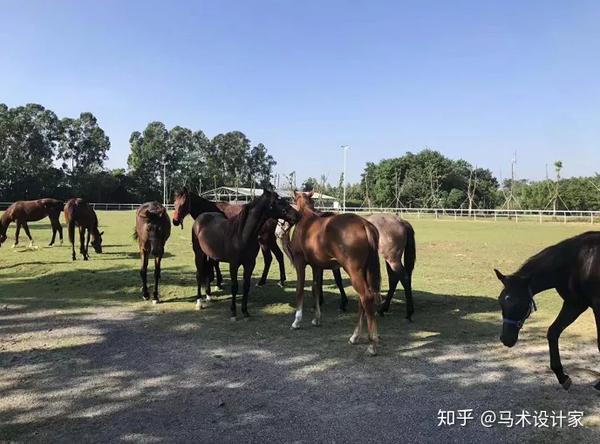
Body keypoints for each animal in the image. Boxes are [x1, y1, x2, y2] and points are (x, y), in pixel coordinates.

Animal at [192, 189, 300, 320]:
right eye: (279, 202)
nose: (297, 215)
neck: (242, 235)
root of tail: (201, 218)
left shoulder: (250, 264)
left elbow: (246, 286)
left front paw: (245, 311)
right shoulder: (233, 265)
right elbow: (234, 287)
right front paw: (233, 312)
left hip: (211, 256)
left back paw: (208, 296)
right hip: (199, 254)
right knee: (199, 275)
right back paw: (199, 303)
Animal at [286, 193, 380, 356]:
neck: (306, 220)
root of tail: (364, 224)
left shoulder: (300, 263)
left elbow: (300, 290)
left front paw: (297, 321)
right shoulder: (317, 266)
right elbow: (315, 290)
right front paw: (317, 319)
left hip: (354, 271)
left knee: (366, 298)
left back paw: (372, 344)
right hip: (364, 272)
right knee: (363, 300)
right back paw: (354, 337)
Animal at [492, 231, 600, 390]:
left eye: (521, 303)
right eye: (500, 301)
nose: (506, 339)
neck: (579, 262)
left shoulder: (597, 307)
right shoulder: (574, 304)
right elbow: (553, 332)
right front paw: (562, 376)